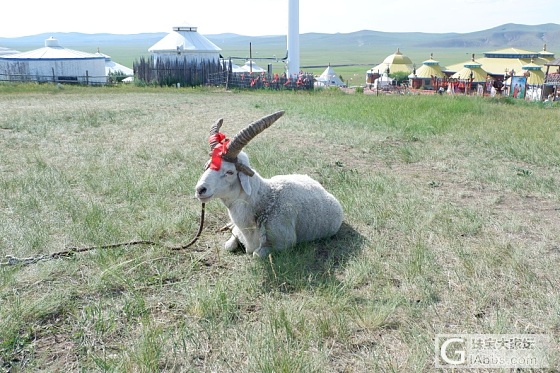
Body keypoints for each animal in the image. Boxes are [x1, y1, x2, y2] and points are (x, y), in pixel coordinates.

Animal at [197, 109, 346, 258]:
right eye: (208, 165)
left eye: (230, 172)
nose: (200, 190)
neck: (265, 199)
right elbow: (228, 246)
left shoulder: (284, 243)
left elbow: (255, 254)